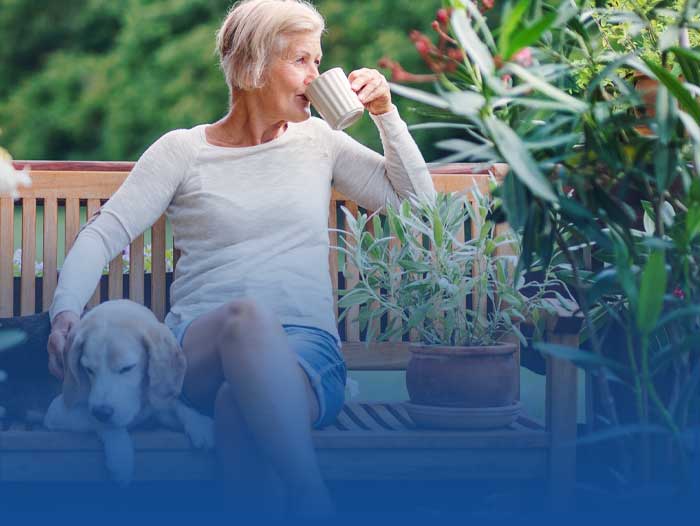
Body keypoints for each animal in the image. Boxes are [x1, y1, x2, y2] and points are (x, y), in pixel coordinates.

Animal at [44, 302, 213, 486]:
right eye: (88, 369)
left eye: (127, 368)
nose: (102, 412)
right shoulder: (56, 412)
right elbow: (101, 421)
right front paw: (120, 456)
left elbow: (173, 402)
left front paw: (198, 422)